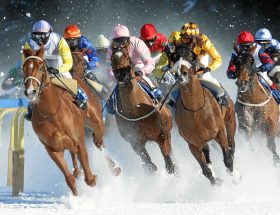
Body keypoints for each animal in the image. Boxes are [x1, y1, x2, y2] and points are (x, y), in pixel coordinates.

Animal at [22, 45, 117, 195]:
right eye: (24, 68)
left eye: (41, 67)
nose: (30, 91)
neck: (52, 114)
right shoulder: (52, 149)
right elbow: (70, 179)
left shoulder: (79, 140)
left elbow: (89, 178)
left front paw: (93, 178)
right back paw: (78, 171)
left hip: (97, 122)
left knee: (98, 142)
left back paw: (114, 167)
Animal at [174, 45, 237, 185]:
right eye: (174, 56)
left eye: (190, 56)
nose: (181, 73)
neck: (196, 112)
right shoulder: (193, 144)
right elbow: (206, 171)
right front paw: (216, 181)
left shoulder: (219, 132)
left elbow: (227, 159)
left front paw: (235, 176)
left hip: (230, 119)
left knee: (232, 145)